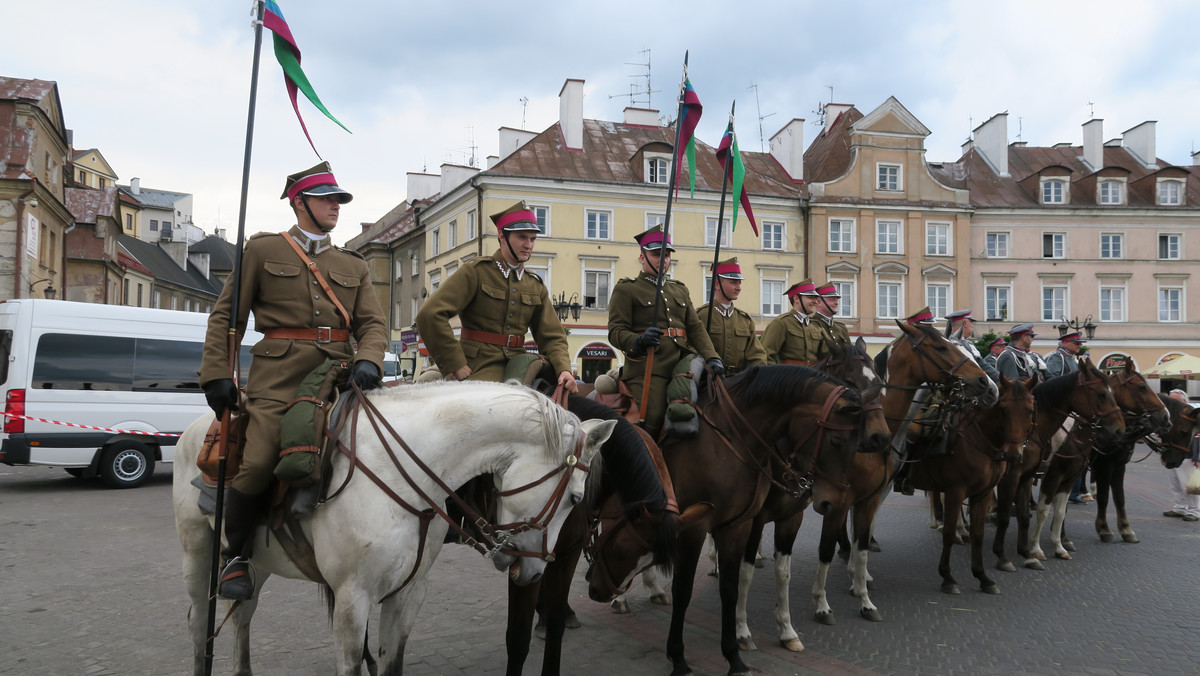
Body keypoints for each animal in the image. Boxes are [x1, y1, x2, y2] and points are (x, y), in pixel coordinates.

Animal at [174, 384, 614, 672]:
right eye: (575, 497)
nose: (536, 570)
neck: (399, 476)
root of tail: (197, 427)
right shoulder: (352, 601)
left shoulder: (408, 594)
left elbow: (391, 663)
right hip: (198, 555)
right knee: (198, 624)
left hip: (256, 560)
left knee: (242, 612)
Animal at [583, 367, 864, 676]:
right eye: (836, 441)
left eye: (857, 445)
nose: (832, 502)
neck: (731, 440)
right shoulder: (695, 527)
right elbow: (683, 589)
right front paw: (679, 657)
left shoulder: (740, 525)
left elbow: (734, 587)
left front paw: (735, 656)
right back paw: (616, 596)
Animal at [729, 336, 892, 653]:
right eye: (850, 383)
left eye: (879, 381)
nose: (880, 437)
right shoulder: (757, 518)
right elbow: (745, 572)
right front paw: (740, 630)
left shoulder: (799, 515)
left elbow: (788, 571)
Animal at [902, 374, 1036, 593]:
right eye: (1002, 409)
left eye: (1030, 410)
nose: (1014, 455)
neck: (977, 439)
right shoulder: (955, 492)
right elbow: (948, 534)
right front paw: (947, 577)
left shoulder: (983, 493)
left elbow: (978, 534)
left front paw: (982, 577)